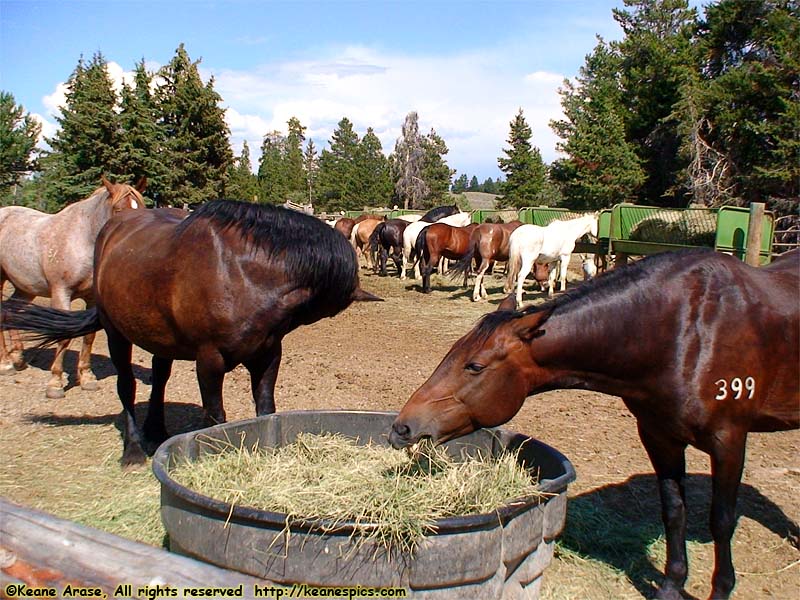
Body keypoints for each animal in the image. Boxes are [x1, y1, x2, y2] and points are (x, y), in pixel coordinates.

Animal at [0, 176, 147, 396]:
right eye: (118, 210)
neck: (82, 239)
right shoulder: (61, 293)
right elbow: (64, 336)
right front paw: (55, 383)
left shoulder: (92, 299)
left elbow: (89, 337)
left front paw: (87, 377)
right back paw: (5, 363)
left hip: (25, 287)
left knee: (9, 312)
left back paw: (17, 358)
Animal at [2, 199, 384, 466]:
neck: (246, 274)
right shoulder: (209, 360)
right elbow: (216, 416)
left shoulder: (267, 356)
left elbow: (266, 410)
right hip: (116, 334)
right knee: (126, 386)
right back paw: (134, 450)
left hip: (159, 340)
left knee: (159, 378)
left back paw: (157, 432)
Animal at [390, 247, 800, 600]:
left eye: (474, 366)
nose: (402, 427)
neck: (683, 333)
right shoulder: (659, 436)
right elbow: (674, 512)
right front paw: (670, 586)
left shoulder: (729, 440)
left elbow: (721, 521)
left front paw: (721, 589)